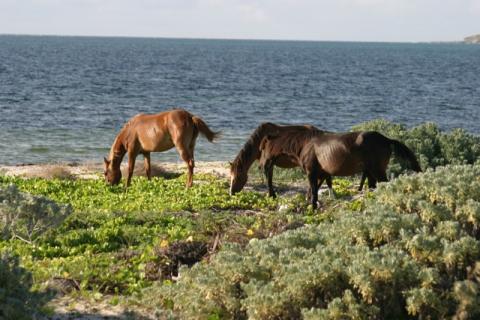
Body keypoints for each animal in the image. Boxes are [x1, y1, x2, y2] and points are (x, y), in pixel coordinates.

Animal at [294, 131, 422, 209]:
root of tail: (386, 139)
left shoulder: (312, 173)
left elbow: (314, 192)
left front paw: (313, 207)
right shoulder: (322, 174)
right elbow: (315, 190)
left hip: (377, 170)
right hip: (372, 172)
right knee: (373, 186)